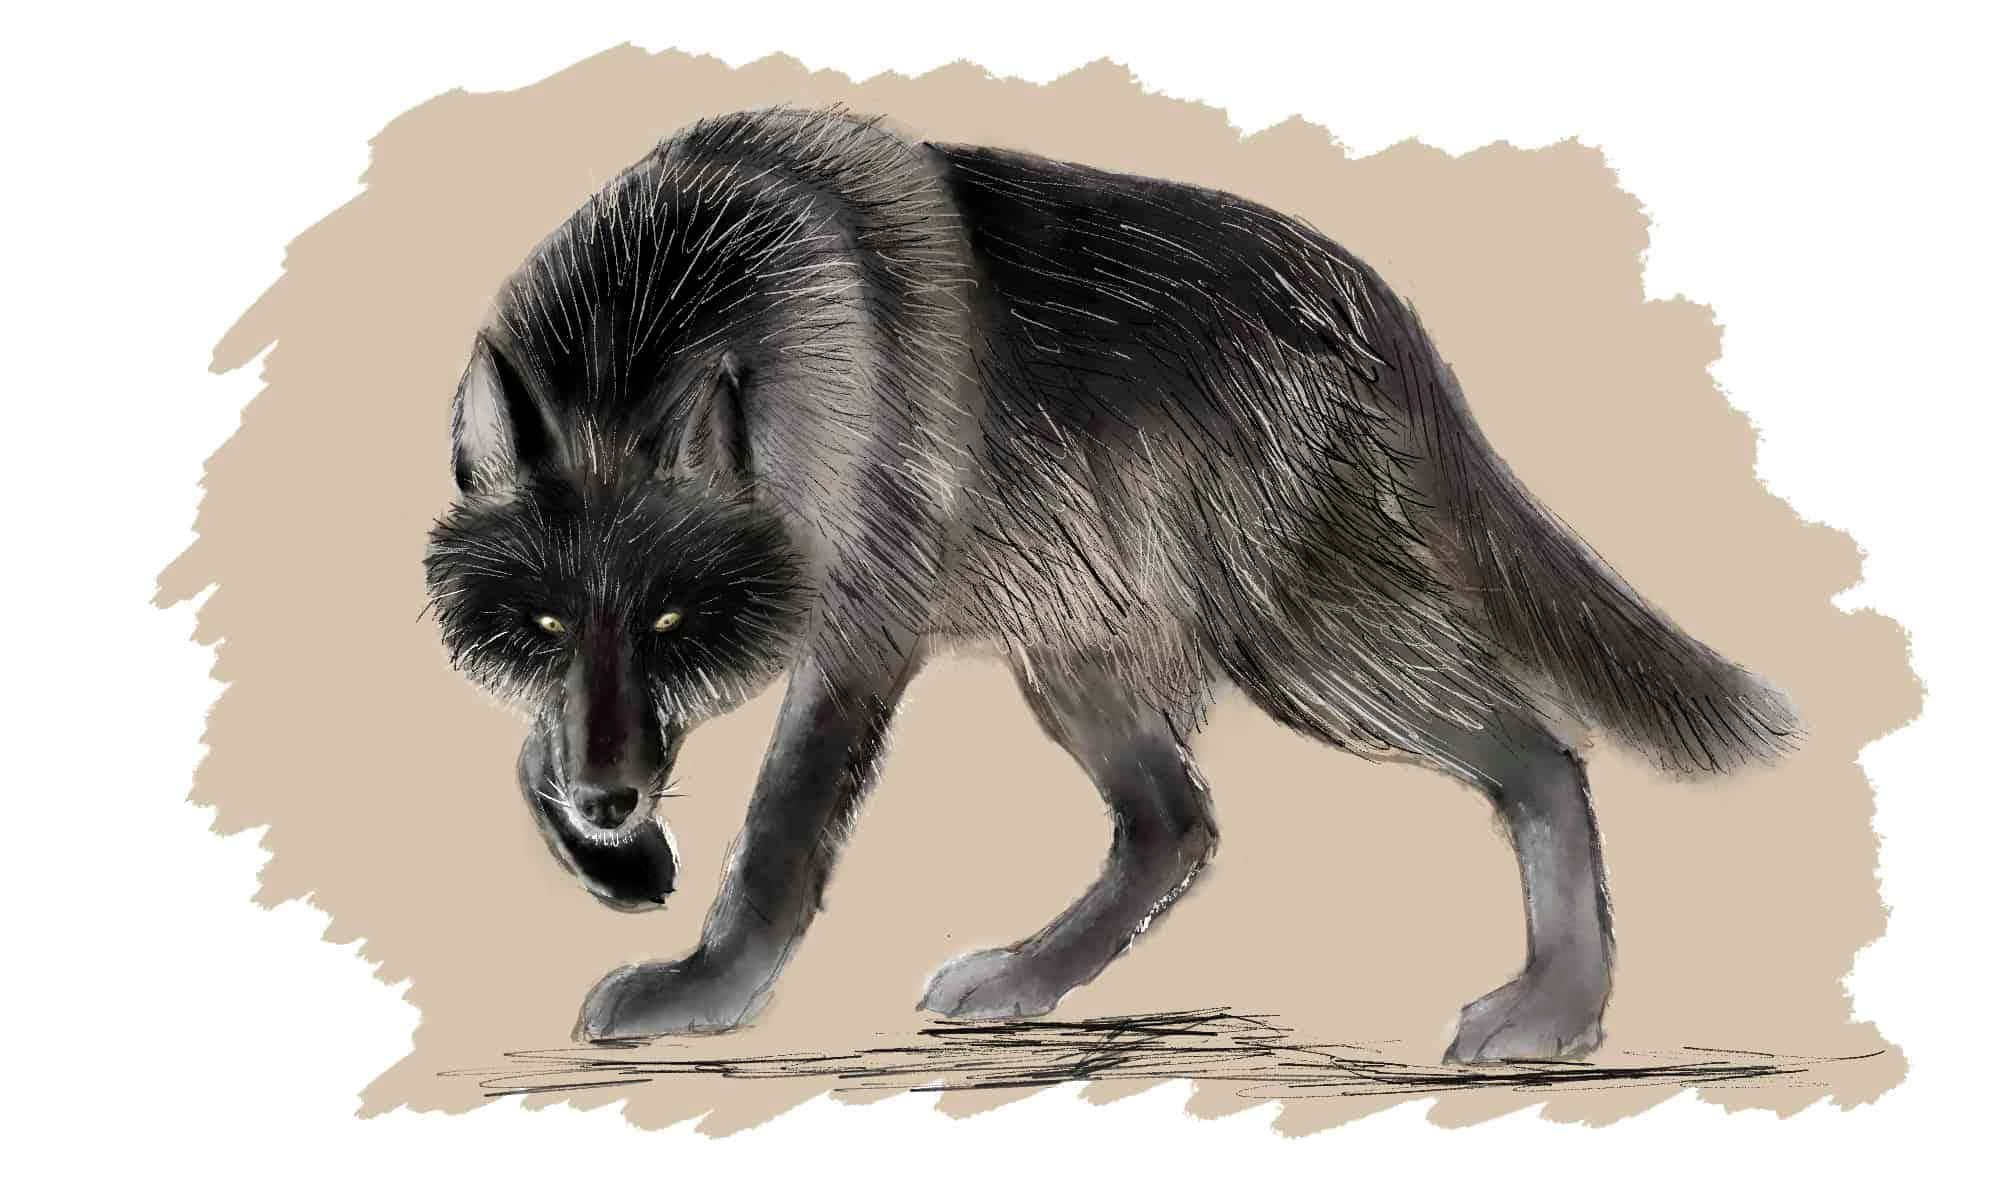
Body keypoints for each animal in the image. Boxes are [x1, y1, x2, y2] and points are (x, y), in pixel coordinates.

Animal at [423, 107, 1800, 1062]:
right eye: (543, 623)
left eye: (671, 618)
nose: (613, 804)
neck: (676, 305)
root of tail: (1365, 292)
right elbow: (533, 753)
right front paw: (619, 861)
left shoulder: (856, 643)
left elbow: (775, 840)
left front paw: (704, 992)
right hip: (1080, 666)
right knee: (1177, 826)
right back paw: (1024, 983)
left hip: (1307, 653)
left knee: (1544, 755)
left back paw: (1555, 1010)